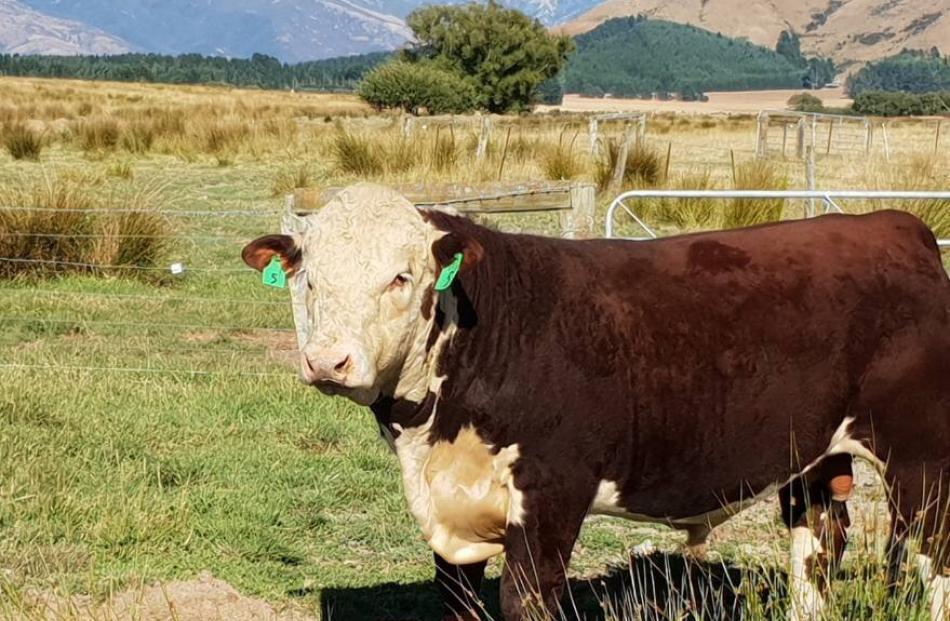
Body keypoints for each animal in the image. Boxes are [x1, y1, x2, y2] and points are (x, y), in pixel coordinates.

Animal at [244, 184, 950, 620]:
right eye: (309, 280)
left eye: (401, 277)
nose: (328, 361)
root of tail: (894, 224)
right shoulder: (450, 512)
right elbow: (459, 601)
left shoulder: (552, 492)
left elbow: (526, 601)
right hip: (813, 457)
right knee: (820, 546)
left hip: (920, 459)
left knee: (932, 555)